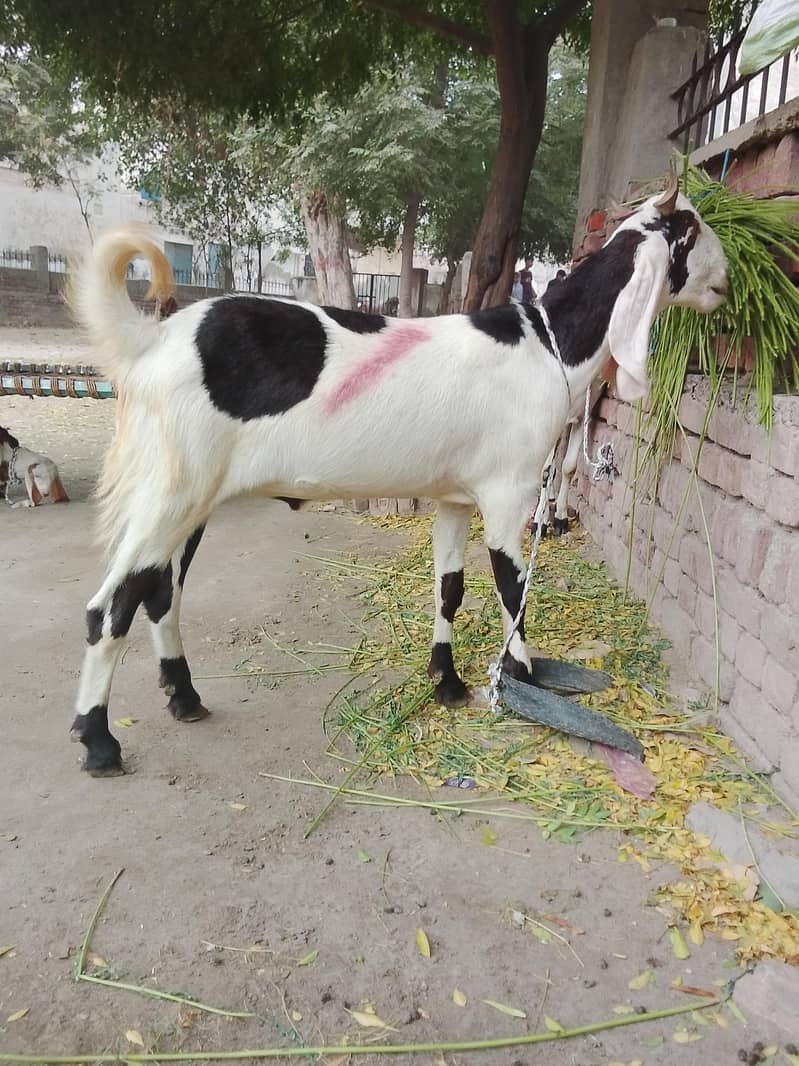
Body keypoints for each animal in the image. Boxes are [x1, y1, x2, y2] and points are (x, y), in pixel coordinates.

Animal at [68, 177, 728, 774]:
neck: (547, 344)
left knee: (159, 592)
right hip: (171, 489)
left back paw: (183, 696)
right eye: (691, 229)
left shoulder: (457, 496)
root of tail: (150, 341)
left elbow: (450, 588)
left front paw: (447, 681)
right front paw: (521, 675)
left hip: (192, 497)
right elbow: (511, 587)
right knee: (109, 608)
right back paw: (99, 742)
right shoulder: (507, 492)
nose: (726, 282)